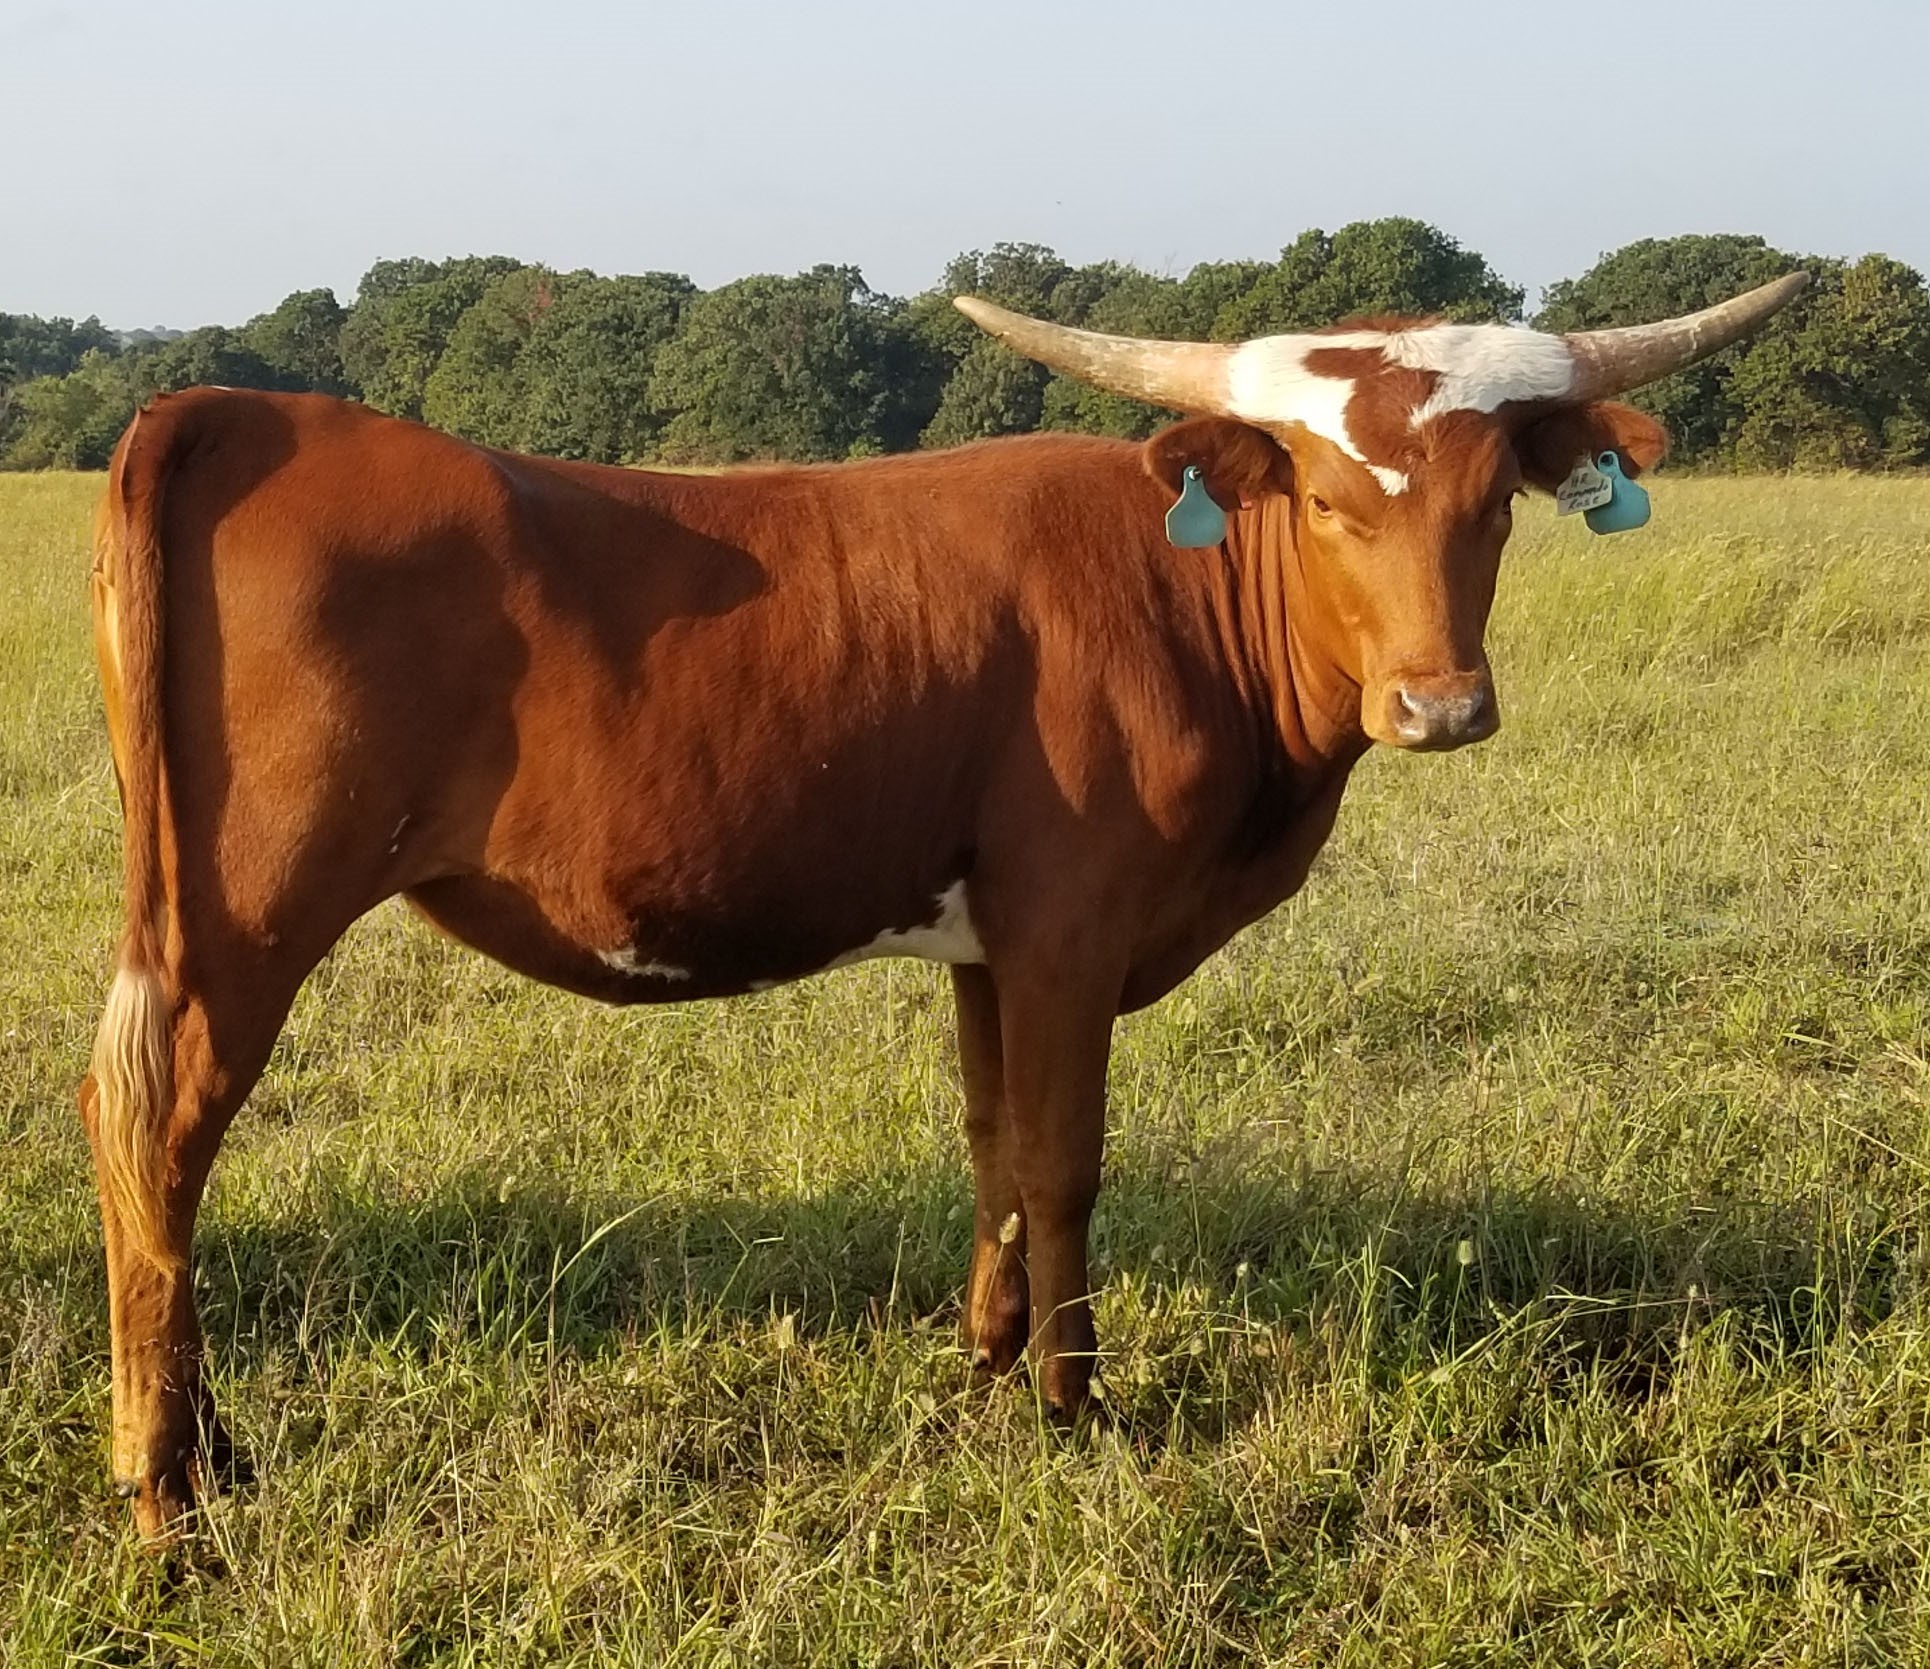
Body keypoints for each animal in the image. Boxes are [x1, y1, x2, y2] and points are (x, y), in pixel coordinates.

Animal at [79, 273, 1806, 1536]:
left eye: (1496, 502)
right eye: (1322, 500)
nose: (1438, 706)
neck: (1180, 598)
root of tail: (224, 408)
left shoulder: (988, 940)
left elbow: (987, 1142)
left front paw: (982, 1361)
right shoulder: (1071, 928)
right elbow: (1062, 1161)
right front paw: (1070, 1401)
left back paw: (203, 1448)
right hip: (250, 909)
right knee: (157, 1124)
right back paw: (167, 1484)